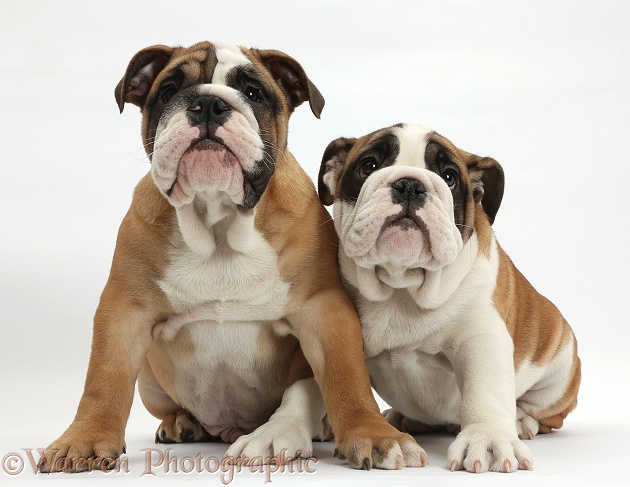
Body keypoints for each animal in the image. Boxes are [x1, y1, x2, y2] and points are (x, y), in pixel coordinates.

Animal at [39, 44, 428, 472]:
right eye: (168, 91)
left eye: (253, 93)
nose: (208, 103)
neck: (218, 222)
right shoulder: (123, 310)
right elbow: (103, 380)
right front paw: (85, 440)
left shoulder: (325, 311)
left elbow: (347, 377)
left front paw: (373, 435)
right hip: (149, 382)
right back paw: (180, 423)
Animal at [318, 124, 584, 474]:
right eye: (368, 165)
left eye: (449, 177)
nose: (409, 185)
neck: (402, 285)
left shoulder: (481, 337)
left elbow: (484, 390)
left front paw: (488, 439)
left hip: (560, 368)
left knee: (545, 413)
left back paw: (520, 420)